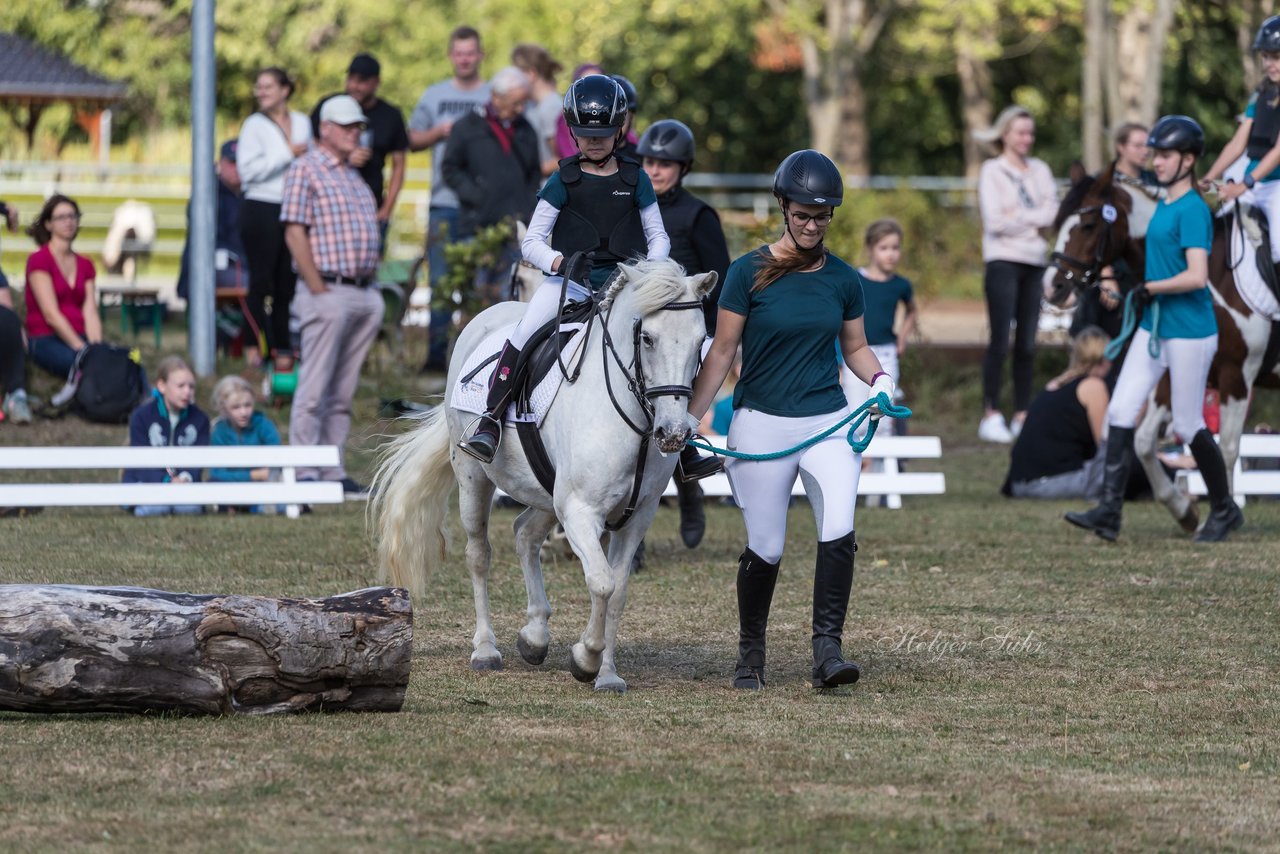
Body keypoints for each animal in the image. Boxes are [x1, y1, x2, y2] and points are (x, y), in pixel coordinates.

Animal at [373, 261, 721, 696]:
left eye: (700, 341)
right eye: (647, 338)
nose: (673, 434)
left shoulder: (635, 517)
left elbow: (618, 591)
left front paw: (608, 674)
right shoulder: (580, 511)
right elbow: (602, 582)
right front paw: (585, 660)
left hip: (546, 493)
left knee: (525, 534)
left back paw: (534, 636)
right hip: (474, 478)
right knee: (479, 555)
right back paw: (485, 650)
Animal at [1044, 163, 1274, 530]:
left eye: (1089, 225)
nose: (1052, 287)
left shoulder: (1237, 376)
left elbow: (1225, 449)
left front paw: (1223, 516)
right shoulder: (1173, 374)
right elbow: (1143, 441)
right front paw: (1184, 511)